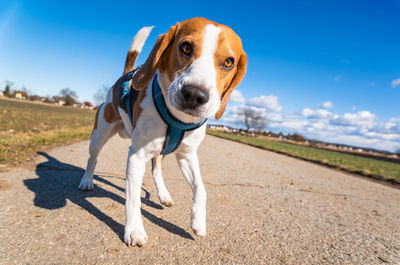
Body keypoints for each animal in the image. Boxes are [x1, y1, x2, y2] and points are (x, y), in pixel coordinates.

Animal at [77, 18, 247, 245]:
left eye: (229, 62)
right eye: (185, 47)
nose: (195, 95)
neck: (177, 119)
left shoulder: (187, 156)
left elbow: (201, 189)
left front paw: (199, 221)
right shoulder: (137, 156)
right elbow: (132, 198)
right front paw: (134, 230)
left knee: (156, 169)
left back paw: (164, 194)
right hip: (99, 133)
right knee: (92, 159)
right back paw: (87, 180)